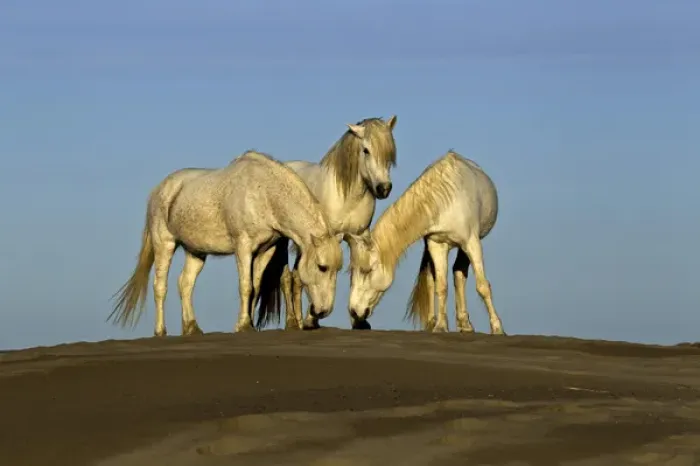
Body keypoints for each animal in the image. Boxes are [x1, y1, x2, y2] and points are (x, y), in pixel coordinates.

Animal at [108, 150, 344, 336]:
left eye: (338, 270)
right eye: (322, 267)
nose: (323, 311)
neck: (263, 194)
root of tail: (159, 190)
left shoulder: (265, 250)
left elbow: (255, 286)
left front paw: (247, 323)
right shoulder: (243, 247)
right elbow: (245, 286)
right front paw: (243, 326)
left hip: (196, 252)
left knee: (185, 284)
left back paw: (192, 328)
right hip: (164, 244)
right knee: (160, 286)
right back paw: (160, 331)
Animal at [255, 116, 398, 331]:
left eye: (389, 152)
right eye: (366, 150)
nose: (383, 188)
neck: (348, 197)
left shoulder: (358, 236)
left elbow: (356, 269)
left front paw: (358, 320)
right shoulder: (326, 240)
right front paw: (312, 318)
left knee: (297, 277)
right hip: (283, 241)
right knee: (287, 277)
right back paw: (293, 321)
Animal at [345, 150, 506, 335]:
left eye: (366, 270)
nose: (354, 311)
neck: (445, 201)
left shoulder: (472, 243)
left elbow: (482, 286)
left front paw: (497, 327)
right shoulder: (436, 244)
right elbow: (441, 286)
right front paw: (441, 326)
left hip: (465, 246)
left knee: (459, 274)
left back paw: (465, 324)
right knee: (437, 278)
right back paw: (445, 322)